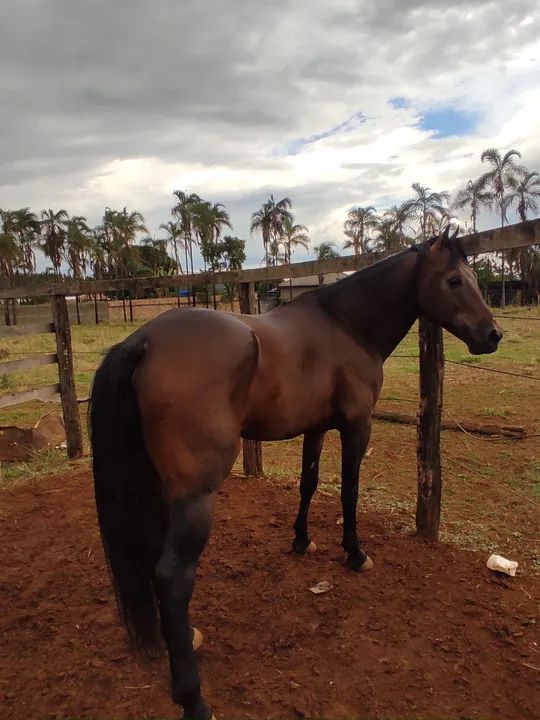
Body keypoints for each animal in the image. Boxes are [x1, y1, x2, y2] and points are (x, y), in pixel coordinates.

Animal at [90, 227, 502, 720]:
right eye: (455, 280)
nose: (493, 335)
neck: (345, 326)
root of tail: (144, 342)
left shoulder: (317, 428)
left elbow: (309, 484)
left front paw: (302, 540)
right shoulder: (356, 427)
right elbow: (348, 492)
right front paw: (355, 553)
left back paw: (185, 638)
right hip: (195, 496)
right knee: (172, 576)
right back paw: (193, 698)